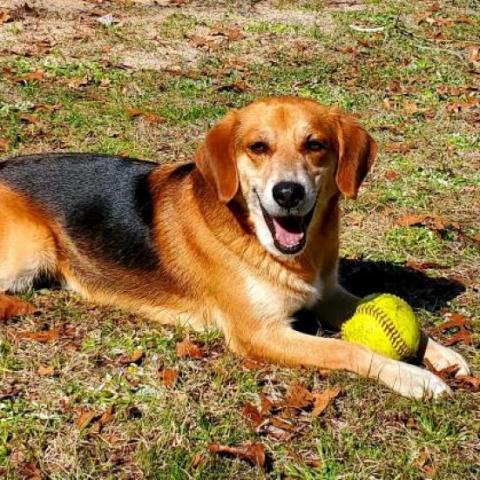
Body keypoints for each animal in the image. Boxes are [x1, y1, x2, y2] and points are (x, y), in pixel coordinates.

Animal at [0, 96, 468, 398]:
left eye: (315, 144)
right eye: (257, 147)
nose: (288, 192)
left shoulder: (329, 293)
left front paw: (441, 354)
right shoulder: (260, 333)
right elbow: (347, 348)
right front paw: (413, 377)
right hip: (27, 255)